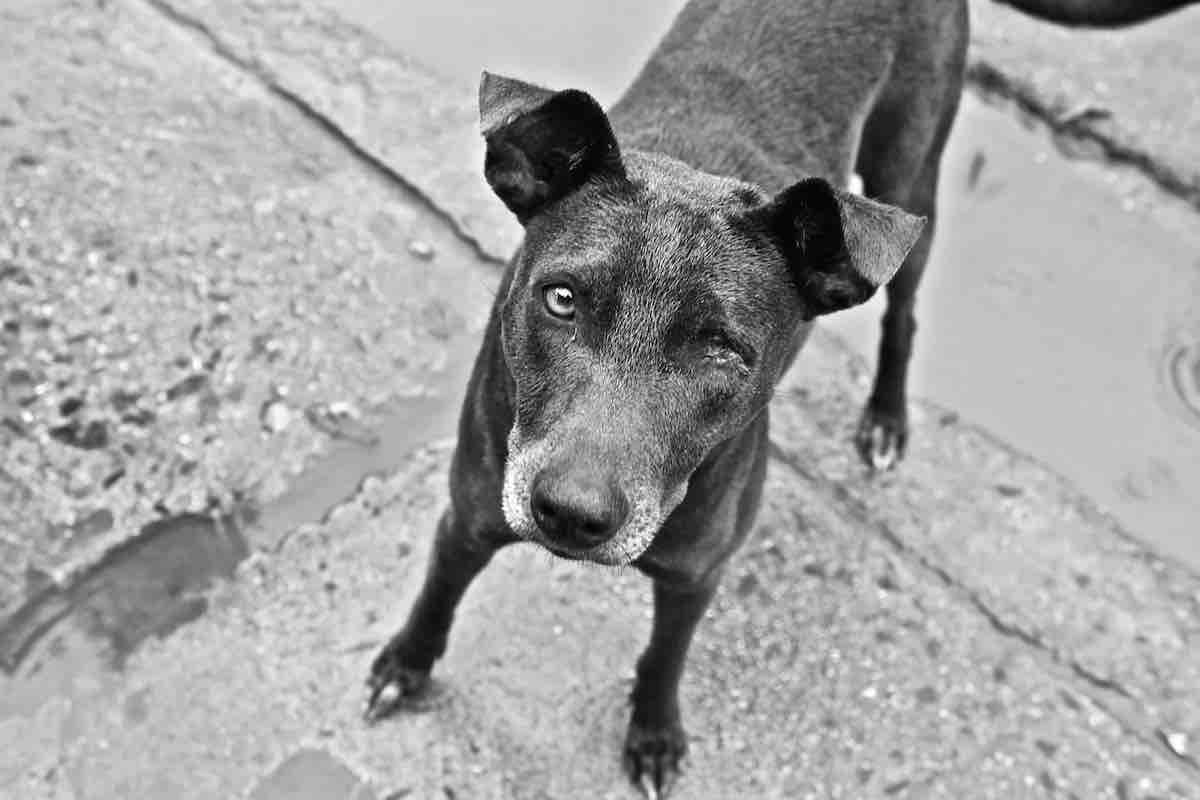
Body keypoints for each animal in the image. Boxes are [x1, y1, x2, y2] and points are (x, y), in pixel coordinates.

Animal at [362, 0, 1190, 796]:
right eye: (561, 299)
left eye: (723, 350)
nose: (570, 513)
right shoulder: (471, 511)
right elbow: (439, 590)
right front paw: (407, 664)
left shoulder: (696, 575)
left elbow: (665, 658)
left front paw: (654, 734)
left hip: (909, 173)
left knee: (903, 311)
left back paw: (886, 420)